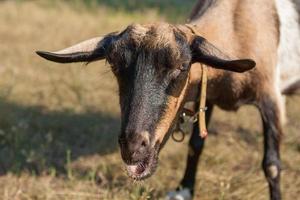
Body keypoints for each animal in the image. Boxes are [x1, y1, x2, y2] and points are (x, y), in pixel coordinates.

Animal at [36, 0, 300, 199]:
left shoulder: (271, 99)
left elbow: (272, 166)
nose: (133, 147)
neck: (237, 23)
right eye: (114, 65)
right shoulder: (207, 96)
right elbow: (195, 145)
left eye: (181, 67)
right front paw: (184, 189)